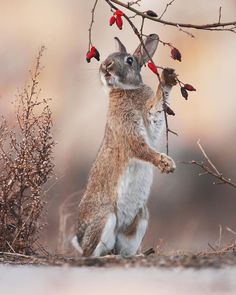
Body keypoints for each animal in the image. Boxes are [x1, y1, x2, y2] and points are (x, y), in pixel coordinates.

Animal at [72, 33, 177, 258]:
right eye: (108, 57)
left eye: (129, 60)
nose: (105, 65)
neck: (126, 90)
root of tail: (78, 238)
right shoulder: (128, 130)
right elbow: (140, 148)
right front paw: (166, 163)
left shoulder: (150, 123)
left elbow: (156, 111)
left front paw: (168, 78)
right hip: (106, 218)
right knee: (92, 254)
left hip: (140, 220)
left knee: (122, 249)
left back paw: (136, 255)